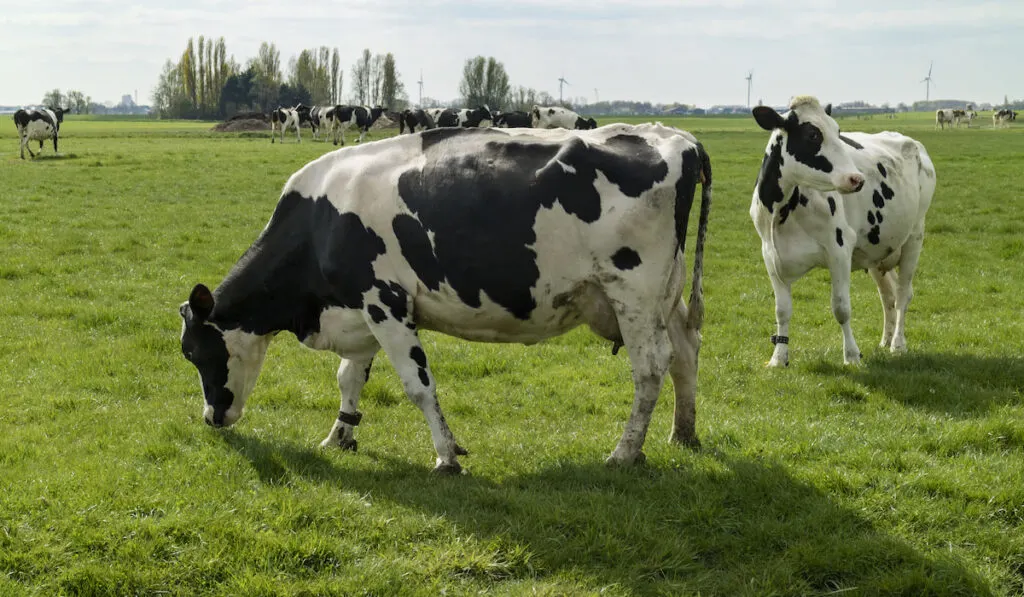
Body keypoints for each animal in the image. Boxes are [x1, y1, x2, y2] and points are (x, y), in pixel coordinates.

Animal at [178, 123, 712, 475]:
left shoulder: (385, 302)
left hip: (633, 293)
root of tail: (676, 137)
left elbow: (418, 385)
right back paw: (683, 432)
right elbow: (349, 378)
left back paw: (625, 451)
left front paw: (446, 455)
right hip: (665, 296)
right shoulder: (361, 309)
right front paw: (340, 435)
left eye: (194, 352)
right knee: (686, 351)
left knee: (651, 367)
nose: (211, 418)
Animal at [753, 96, 937, 368]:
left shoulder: (839, 250)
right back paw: (885, 340)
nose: (856, 179)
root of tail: (910, 141)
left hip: (915, 236)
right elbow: (782, 310)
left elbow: (841, 308)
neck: (781, 212)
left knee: (903, 294)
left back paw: (897, 344)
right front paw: (778, 358)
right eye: (812, 134)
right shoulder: (770, 255)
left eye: (838, 131)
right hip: (877, 250)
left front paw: (851, 355)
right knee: (888, 296)